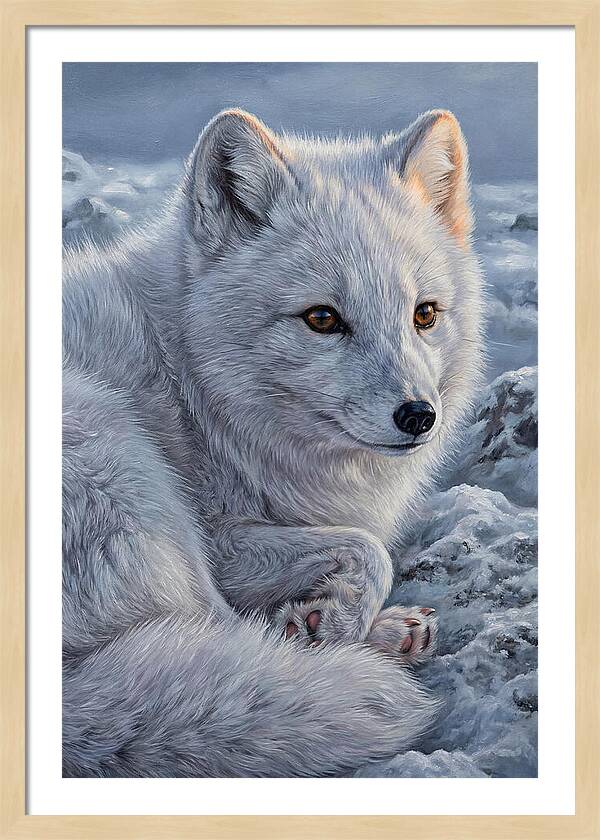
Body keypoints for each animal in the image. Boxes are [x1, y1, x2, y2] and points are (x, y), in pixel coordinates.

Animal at [62, 107, 484, 777]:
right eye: (322, 319)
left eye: (424, 314)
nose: (419, 416)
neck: (189, 381)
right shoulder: (219, 537)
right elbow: (371, 549)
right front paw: (333, 622)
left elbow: (361, 548)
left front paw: (330, 617)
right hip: (120, 460)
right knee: (216, 629)